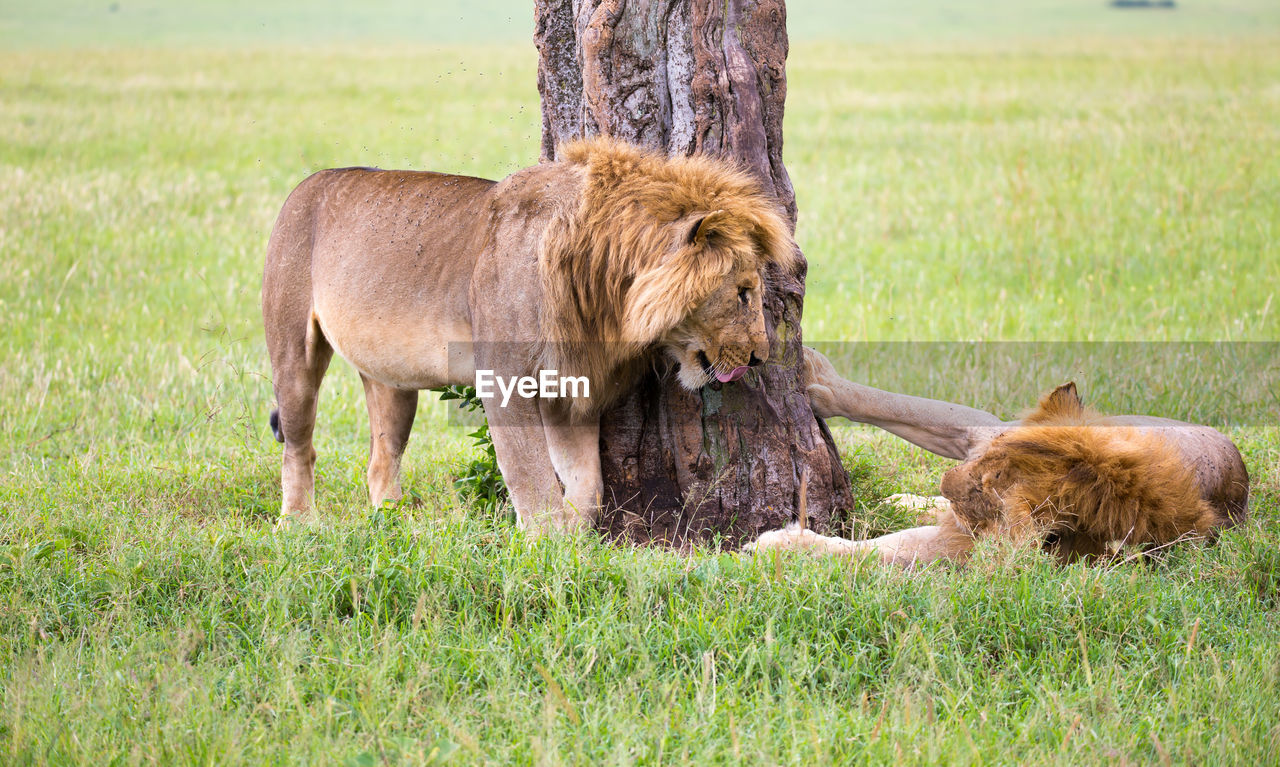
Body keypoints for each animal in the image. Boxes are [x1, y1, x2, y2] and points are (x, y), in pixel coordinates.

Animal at [262, 138, 788, 530]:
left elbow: (586, 485)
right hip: (292, 350)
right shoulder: (505, 377)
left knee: (380, 459)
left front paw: (576, 538)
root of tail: (307, 182)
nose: (761, 356)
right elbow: (530, 476)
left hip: (391, 382)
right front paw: (548, 551)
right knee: (298, 445)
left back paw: (389, 523)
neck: (606, 284)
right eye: (744, 293)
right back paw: (298, 522)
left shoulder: (570, 381)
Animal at [747, 348, 1249, 563]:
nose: (948, 484)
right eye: (983, 469)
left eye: (982, 493)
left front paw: (781, 546)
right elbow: (908, 407)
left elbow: (870, 555)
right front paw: (815, 377)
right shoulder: (980, 434)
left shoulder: (964, 546)